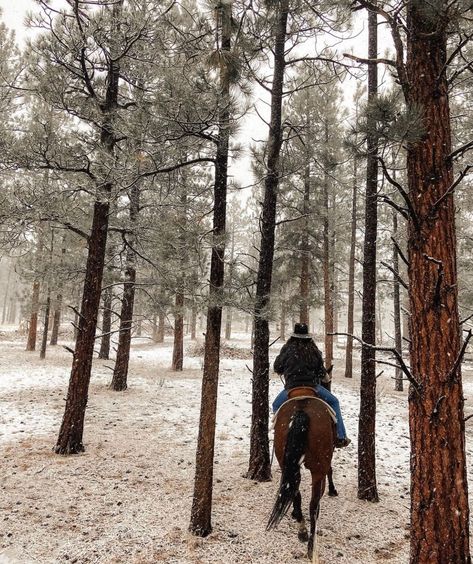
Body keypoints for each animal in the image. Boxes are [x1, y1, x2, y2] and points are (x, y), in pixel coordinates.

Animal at [266, 390, 336, 560]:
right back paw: (311, 546)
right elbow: (330, 470)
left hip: (286, 463)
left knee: (295, 493)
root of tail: (301, 411)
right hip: (318, 469)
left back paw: (301, 529)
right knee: (313, 504)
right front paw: (332, 490)